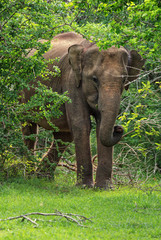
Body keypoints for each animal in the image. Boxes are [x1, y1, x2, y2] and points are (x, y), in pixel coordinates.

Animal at [20, 31, 145, 188]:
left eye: (124, 80)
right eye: (94, 79)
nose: (118, 128)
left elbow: (99, 125)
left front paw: (104, 188)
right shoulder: (71, 81)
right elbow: (82, 124)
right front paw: (85, 186)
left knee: (63, 136)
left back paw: (42, 177)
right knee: (29, 128)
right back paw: (28, 175)